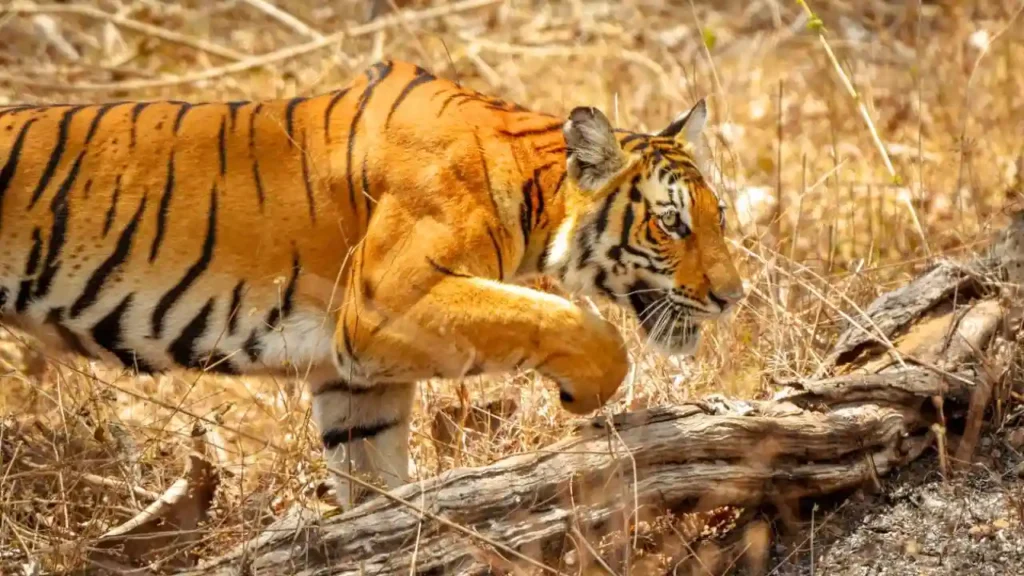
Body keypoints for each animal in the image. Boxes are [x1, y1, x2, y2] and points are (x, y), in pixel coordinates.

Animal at [0, 59, 744, 506]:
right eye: (673, 224)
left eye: (717, 218)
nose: (731, 299)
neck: (534, 187)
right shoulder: (385, 303)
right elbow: (556, 317)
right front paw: (585, 392)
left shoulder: (354, 374)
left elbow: (373, 479)